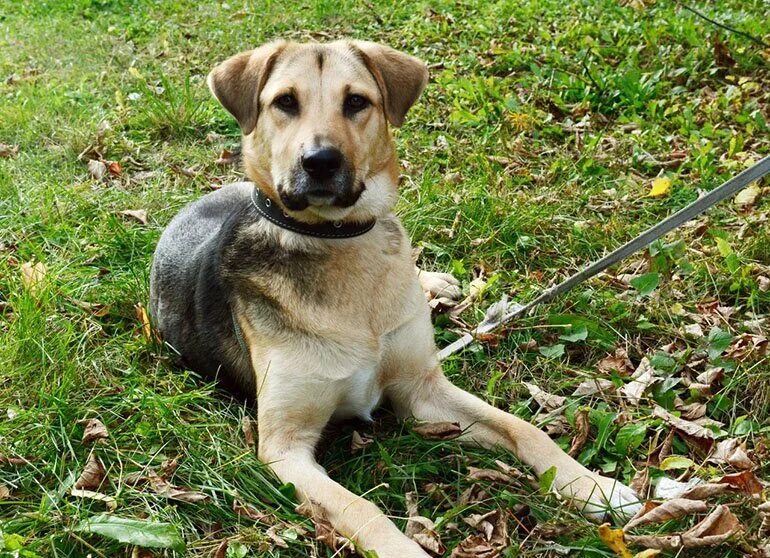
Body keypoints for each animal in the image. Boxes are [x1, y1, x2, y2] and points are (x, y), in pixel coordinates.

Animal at [147, 40, 640, 558]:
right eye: (285, 102)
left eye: (356, 102)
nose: (320, 161)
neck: (338, 242)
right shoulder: (284, 448)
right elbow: (363, 508)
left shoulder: (421, 388)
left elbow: (525, 428)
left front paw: (594, 487)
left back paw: (435, 281)